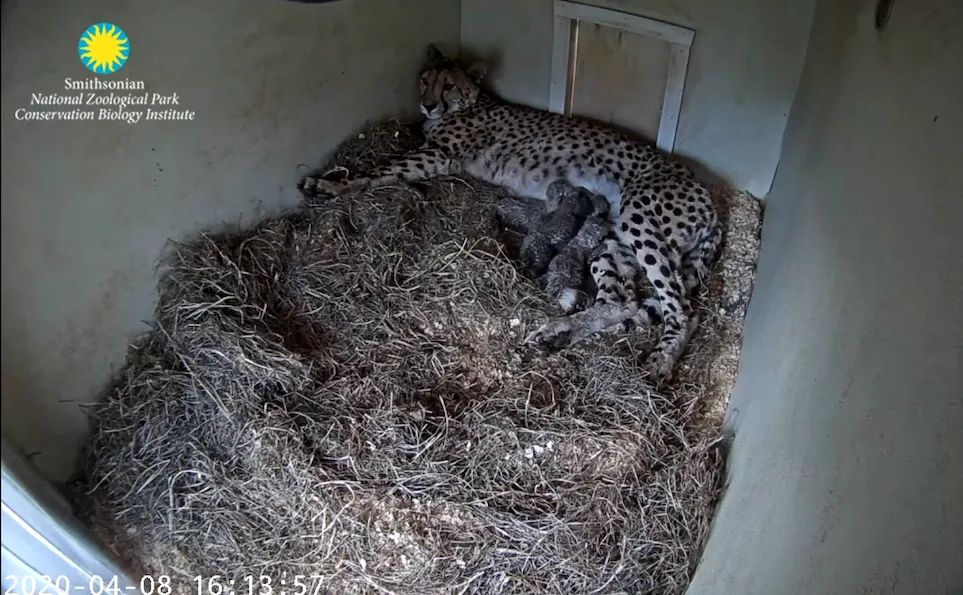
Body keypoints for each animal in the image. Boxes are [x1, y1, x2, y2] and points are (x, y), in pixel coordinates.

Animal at [302, 45, 724, 382]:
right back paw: (558, 334)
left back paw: (661, 360)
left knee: (683, 310)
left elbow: (382, 169)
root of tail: (708, 196)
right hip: (611, 237)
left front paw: (332, 185)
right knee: (622, 301)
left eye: (448, 85)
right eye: (424, 80)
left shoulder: (437, 155)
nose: (428, 104)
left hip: (641, 220)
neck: (472, 101)